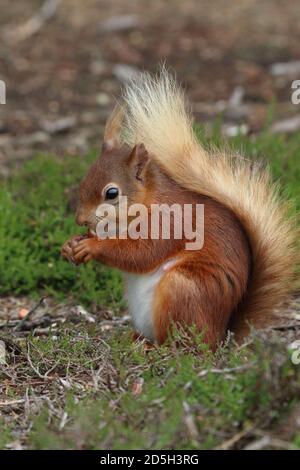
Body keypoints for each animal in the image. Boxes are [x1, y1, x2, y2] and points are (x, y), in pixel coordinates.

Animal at [61, 70, 298, 348]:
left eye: (112, 193)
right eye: (85, 178)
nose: (80, 219)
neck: (146, 203)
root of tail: (221, 335)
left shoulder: (169, 222)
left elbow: (141, 253)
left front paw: (92, 246)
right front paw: (70, 245)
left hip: (183, 290)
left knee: (185, 345)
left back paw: (154, 347)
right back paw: (134, 338)